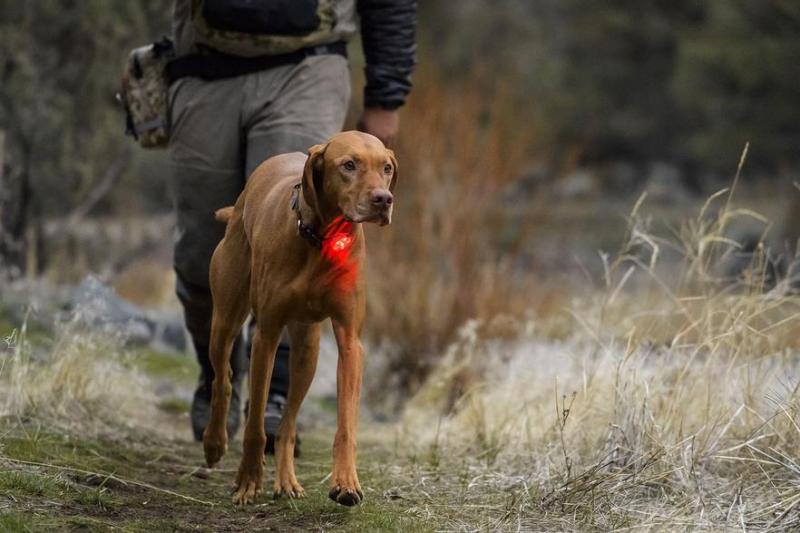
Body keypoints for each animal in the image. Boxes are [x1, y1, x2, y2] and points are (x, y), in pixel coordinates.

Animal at [202, 131, 398, 504]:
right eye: (348, 165)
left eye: (387, 168)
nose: (384, 199)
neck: (321, 238)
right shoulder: (266, 335)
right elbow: (254, 425)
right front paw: (248, 481)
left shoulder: (350, 342)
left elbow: (345, 425)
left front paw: (346, 482)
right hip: (224, 320)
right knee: (224, 379)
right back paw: (214, 443)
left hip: (308, 350)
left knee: (288, 421)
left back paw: (286, 480)